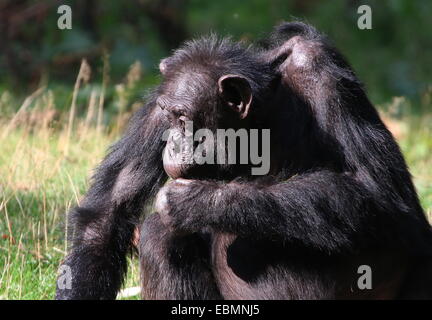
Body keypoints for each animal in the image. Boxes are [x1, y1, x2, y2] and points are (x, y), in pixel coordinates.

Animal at [56, 22, 432, 300]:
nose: (173, 141)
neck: (261, 121)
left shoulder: (321, 70)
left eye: (183, 118)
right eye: (169, 115)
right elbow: (107, 214)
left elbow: (379, 195)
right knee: (161, 235)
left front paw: (198, 201)